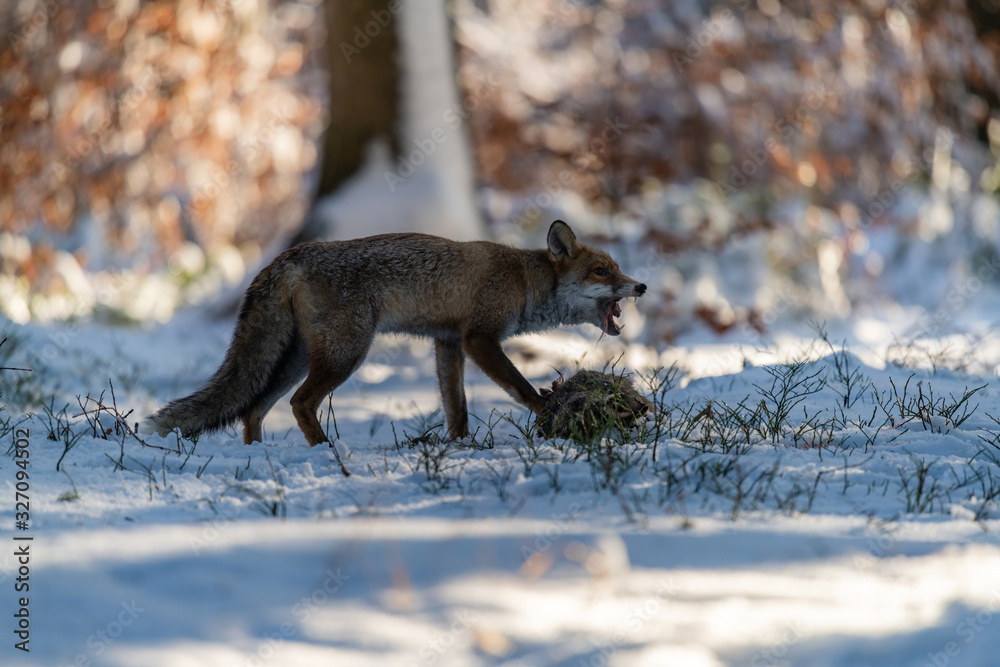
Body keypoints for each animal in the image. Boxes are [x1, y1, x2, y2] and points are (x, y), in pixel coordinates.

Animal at [142, 220, 646, 446]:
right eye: (602, 271)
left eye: (618, 268)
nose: (640, 285)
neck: (522, 281)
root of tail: (288, 256)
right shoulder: (479, 338)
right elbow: (522, 388)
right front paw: (551, 412)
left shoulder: (448, 343)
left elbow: (456, 406)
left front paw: (458, 446)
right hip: (346, 353)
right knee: (298, 403)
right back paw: (325, 452)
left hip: (300, 358)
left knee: (253, 409)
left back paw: (259, 456)